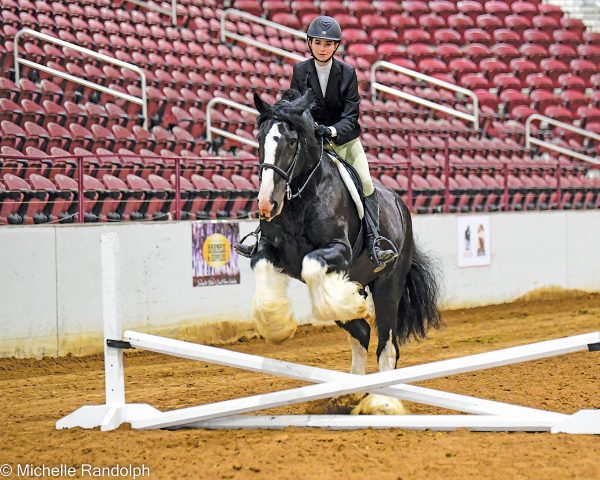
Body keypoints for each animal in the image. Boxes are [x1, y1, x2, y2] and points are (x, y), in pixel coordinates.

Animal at [248, 90, 440, 416]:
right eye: (260, 139)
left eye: (292, 141)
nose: (267, 205)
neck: (301, 198)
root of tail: (400, 205)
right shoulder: (270, 251)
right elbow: (262, 268)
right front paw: (277, 326)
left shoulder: (338, 250)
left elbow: (312, 264)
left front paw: (345, 303)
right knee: (361, 333)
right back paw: (352, 393)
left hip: (388, 285)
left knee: (386, 345)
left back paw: (383, 402)